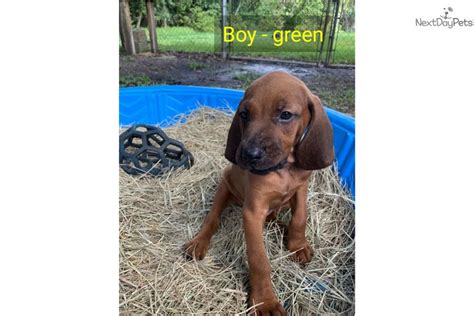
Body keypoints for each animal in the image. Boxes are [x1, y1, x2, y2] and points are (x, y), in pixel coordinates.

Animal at [183, 71, 336, 316]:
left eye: (285, 115)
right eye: (244, 114)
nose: (249, 154)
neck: (283, 170)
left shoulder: (301, 189)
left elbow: (300, 217)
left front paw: (297, 244)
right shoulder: (253, 212)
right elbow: (259, 260)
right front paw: (265, 301)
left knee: (276, 218)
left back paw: (282, 228)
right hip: (224, 187)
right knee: (212, 219)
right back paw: (198, 242)